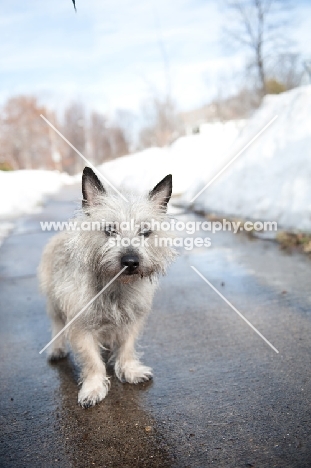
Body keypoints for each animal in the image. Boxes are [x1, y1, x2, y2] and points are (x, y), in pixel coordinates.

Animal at [38, 167, 177, 406]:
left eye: (145, 232)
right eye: (110, 230)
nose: (131, 261)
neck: (115, 286)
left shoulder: (132, 321)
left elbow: (127, 348)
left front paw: (130, 370)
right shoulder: (81, 327)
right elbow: (92, 361)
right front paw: (93, 388)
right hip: (54, 301)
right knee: (56, 324)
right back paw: (57, 348)